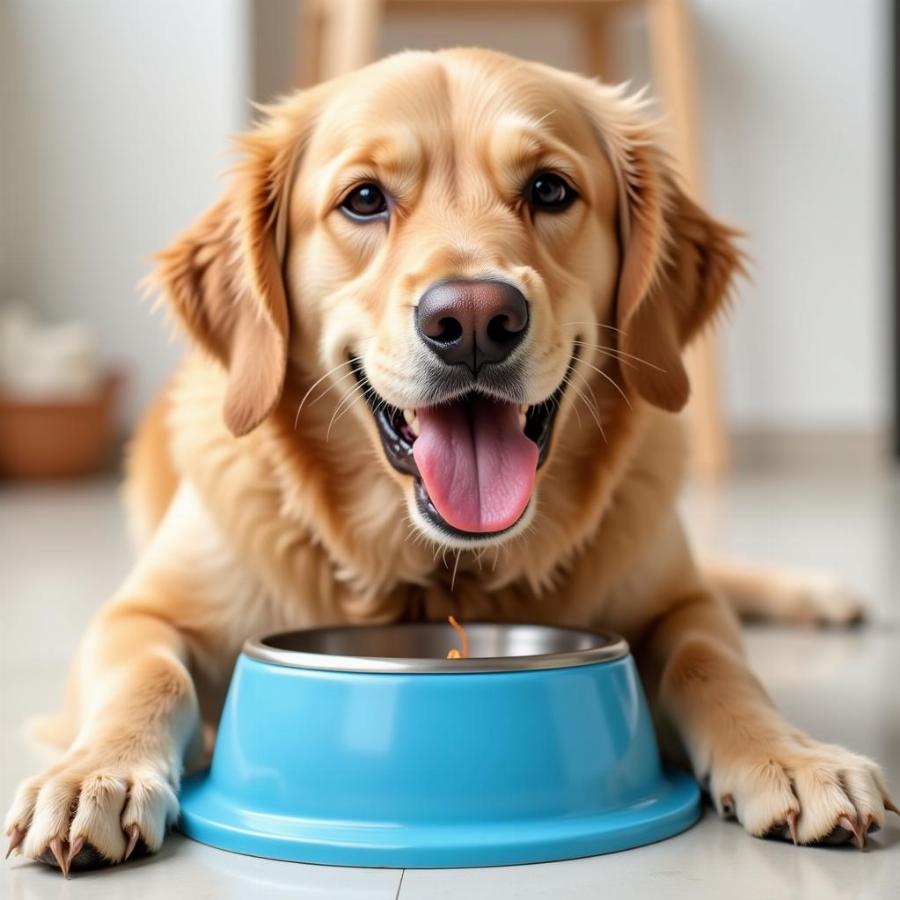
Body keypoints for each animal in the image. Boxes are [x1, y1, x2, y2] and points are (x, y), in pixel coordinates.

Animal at [7, 47, 892, 872]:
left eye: (550, 190)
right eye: (364, 199)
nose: (472, 319)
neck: (438, 569)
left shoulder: (681, 605)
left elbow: (714, 660)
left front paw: (793, 756)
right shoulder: (140, 613)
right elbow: (147, 674)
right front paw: (95, 774)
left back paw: (819, 592)